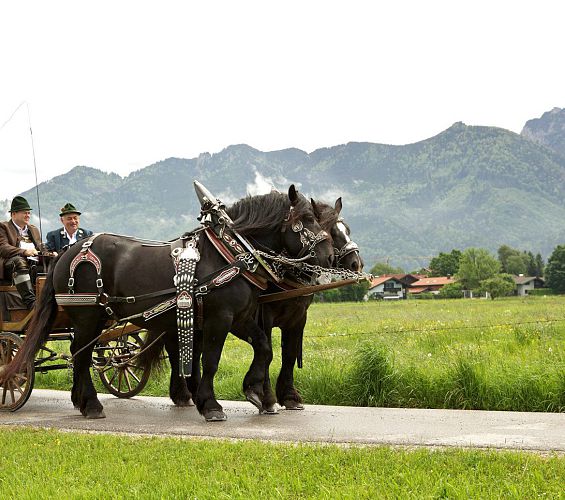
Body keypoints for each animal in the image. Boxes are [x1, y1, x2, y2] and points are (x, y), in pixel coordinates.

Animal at [2, 186, 332, 420]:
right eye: (305, 221)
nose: (330, 257)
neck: (230, 253)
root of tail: (66, 253)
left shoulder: (242, 318)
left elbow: (264, 348)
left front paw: (254, 391)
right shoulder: (220, 318)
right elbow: (211, 360)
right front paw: (211, 405)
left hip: (97, 318)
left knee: (79, 355)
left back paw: (81, 401)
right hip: (87, 316)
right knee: (79, 356)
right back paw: (91, 405)